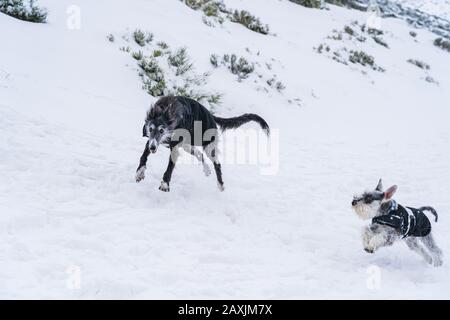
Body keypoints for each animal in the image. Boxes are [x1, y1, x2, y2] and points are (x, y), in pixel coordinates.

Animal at [135, 94, 268, 191]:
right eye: (150, 129)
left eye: (162, 130)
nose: (153, 148)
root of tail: (211, 116)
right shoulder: (151, 141)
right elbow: (143, 157)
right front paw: (140, 173)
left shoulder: (173, 148)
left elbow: (170, 167)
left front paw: (165, 184)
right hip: (187, 145)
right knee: (200, 154)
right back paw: (206, 169)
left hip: (207, 145)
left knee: (216, 164)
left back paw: (220, 184)